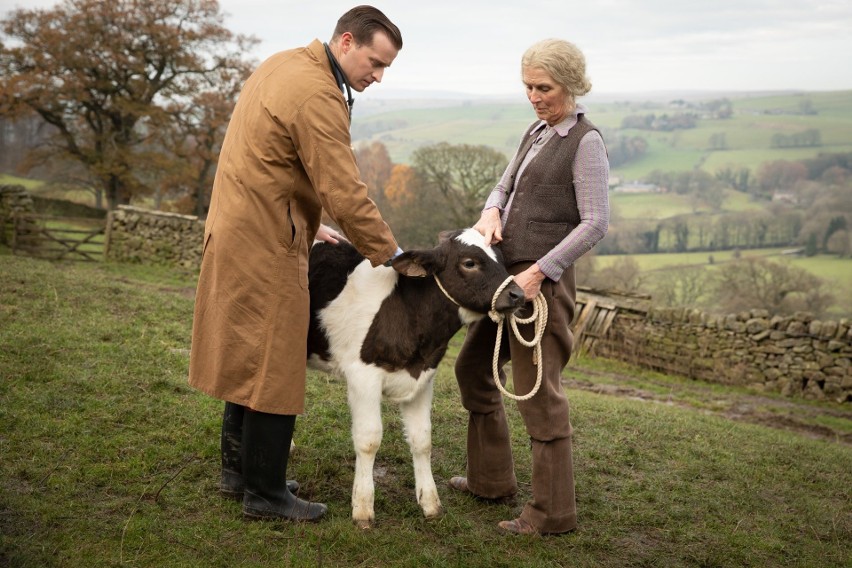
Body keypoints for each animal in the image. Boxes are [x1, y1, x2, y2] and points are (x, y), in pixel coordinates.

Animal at [302, 226, 524, 528]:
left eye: (502, 259)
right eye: (469, 263)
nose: (518, 294)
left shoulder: (423, 379)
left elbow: (422, 440)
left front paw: (430, 504)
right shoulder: (363, 376)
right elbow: (369, 440)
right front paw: (363, 509)